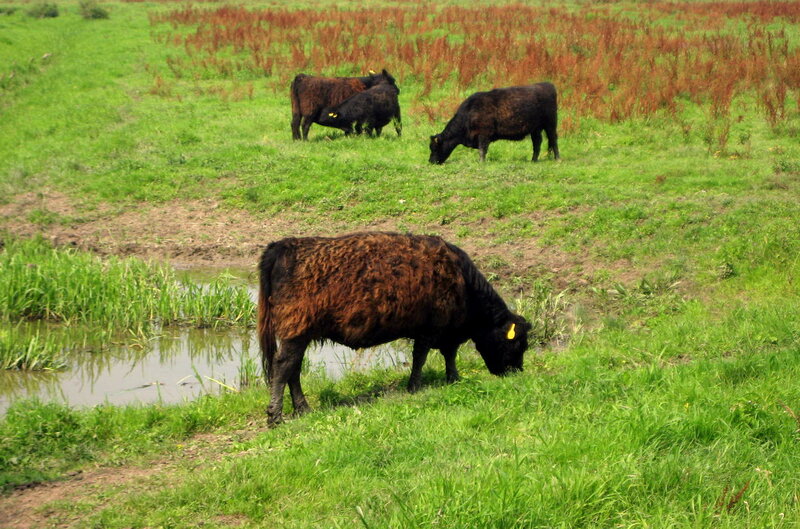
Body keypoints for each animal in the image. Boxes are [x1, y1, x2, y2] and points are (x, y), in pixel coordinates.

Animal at [257, 232, 531, 425]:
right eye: (517, 343)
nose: (517, 372)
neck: (461, 280)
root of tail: (284, 245)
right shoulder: (430, 330)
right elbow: (421, 358)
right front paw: (415, 387)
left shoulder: (445, 333)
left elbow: (448, 355)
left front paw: (453, 378)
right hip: (296, 332)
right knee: (283, 367)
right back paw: (275, 416)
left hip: (299, 335)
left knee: (293, 369)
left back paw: (302, 408)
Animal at [429, 82, 560, 164]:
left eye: (434, 148)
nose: (430, 161)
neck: (469, 113)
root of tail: (547, 85)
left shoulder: (483, 135)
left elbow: (482, 150)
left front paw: (481, 162)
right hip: (535, 129)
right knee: (537, 143)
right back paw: (533, 160)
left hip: (550, 124)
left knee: (553, 140)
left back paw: (557, 159)